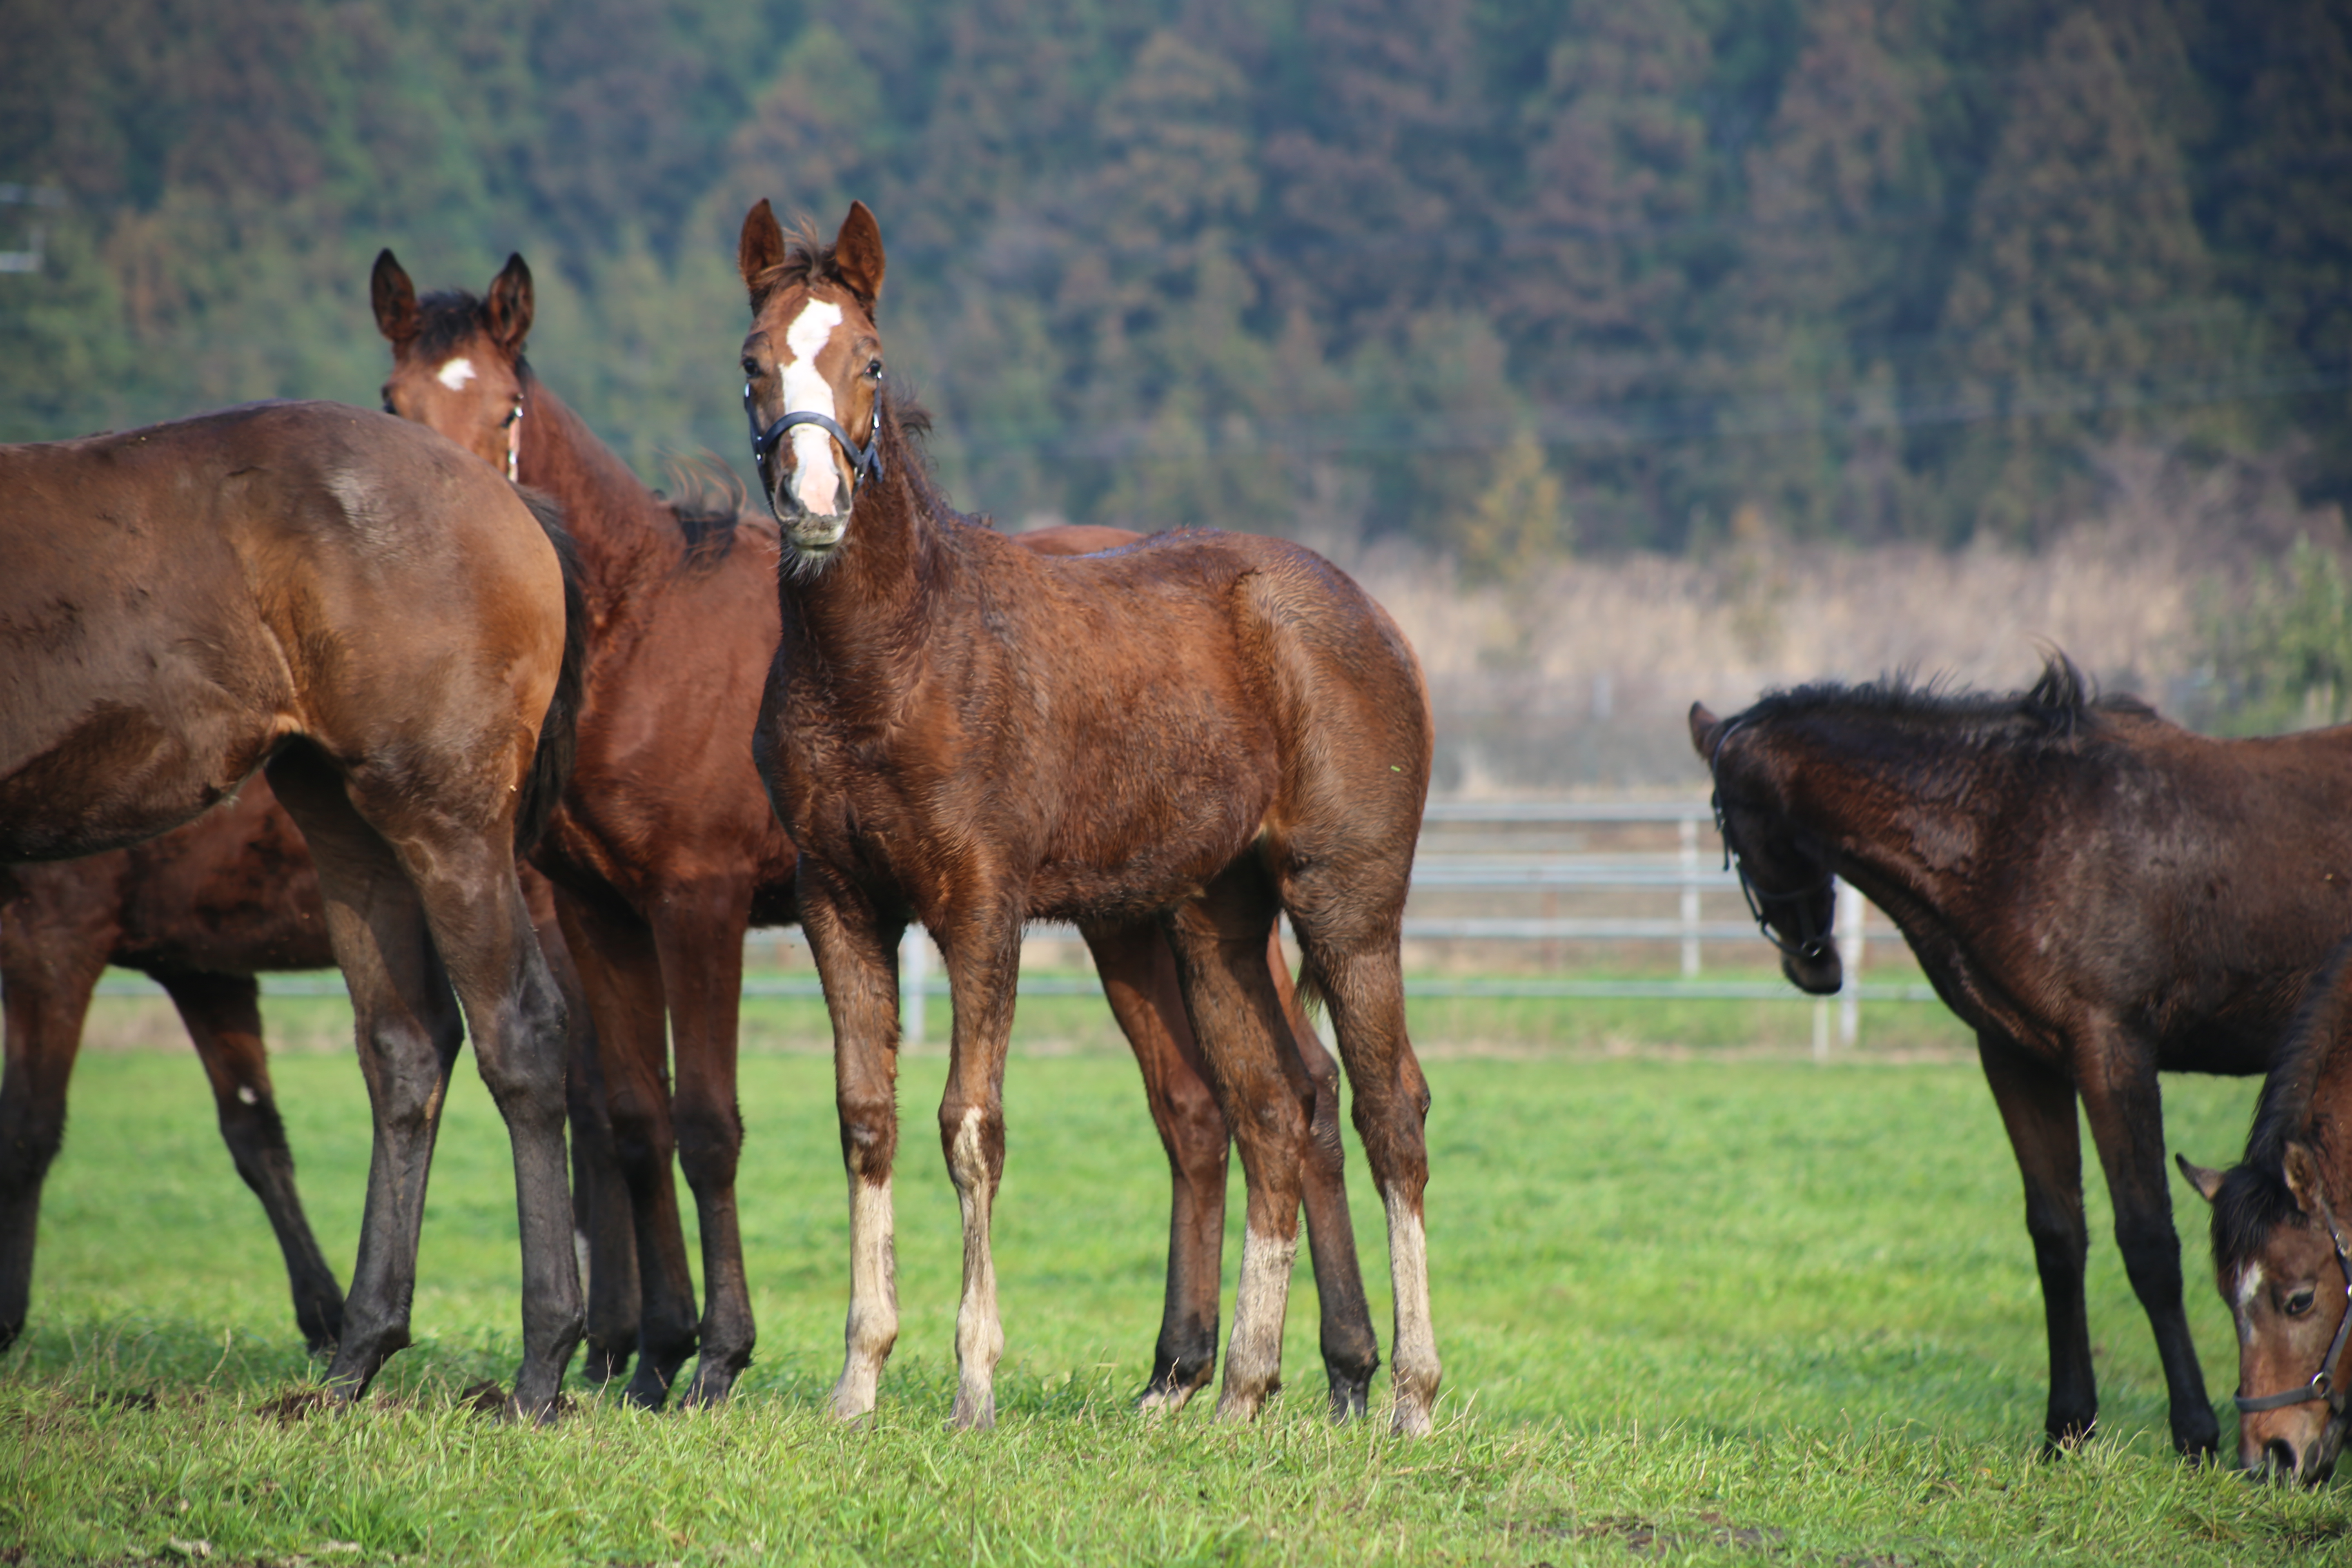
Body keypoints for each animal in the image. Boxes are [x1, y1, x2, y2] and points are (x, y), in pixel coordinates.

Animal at [376, 255, 1383, 1410]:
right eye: (391, 403)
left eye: (505, 409)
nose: (447, 544)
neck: (641, 630)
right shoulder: (595, 910)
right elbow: (631, 1120)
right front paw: (650, 1354)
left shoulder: (697, 901)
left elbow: (707, 1124)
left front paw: (714, 1354)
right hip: (1129, 918)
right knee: (1206, 1109)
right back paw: (1201, 1364)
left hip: (1203, 915)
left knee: (1305, 1094)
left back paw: (1344, 1364)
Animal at [738, 200, 1430, 1439]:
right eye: (752, 363)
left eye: (871, 359)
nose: (814, 508)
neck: (894, 658)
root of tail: (1374, 617)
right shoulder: (840, 902)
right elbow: (866, 1115)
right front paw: (858, 1378)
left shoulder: (982, 906)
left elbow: (972, 1126)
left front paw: (972, 1381)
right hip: (1213, 922)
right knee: (1271, 1108)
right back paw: (1240, 1389)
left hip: (1348, 908)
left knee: (1390, 1110)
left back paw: (1408, 1393)